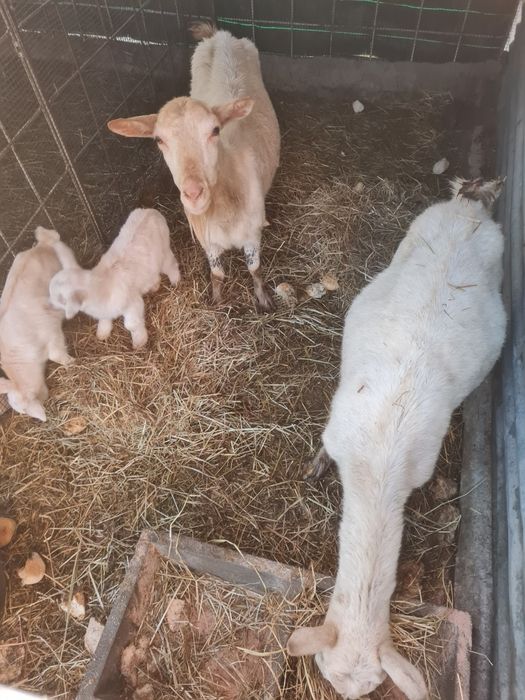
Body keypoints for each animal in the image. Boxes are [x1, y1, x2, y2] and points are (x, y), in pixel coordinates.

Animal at [48, 208, 180, 349]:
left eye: (59, 299)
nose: (48, 305)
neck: (101, 285)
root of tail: (151, 211)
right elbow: (104, 319)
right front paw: (102, 332)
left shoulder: (132, 303)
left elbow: (132, 325)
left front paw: (139, 342)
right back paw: (154, 286)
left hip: (164, 250)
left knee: (171, 264)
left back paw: (176, 281)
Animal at [107, 21, 280, 311]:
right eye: (159, 140)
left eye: (215, 130)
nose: (193, 193)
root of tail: (220, 36)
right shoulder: (208, 240)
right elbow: (217, 274)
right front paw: (217, 301)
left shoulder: (252, 234)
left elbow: (254, 269)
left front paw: (263, 299)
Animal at [288, 178, 506, 700]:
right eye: (328, 672)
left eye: (366, 689)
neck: (377, 464)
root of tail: (471, 207)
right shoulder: (337, 429)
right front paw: (315, 467)